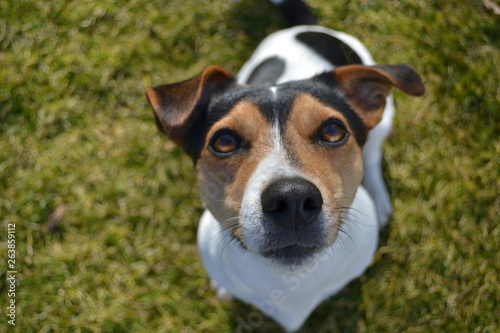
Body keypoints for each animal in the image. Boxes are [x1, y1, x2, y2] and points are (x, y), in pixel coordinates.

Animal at [144, 0, 422, 330]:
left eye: (333, 131)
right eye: (224, 141)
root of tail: (307, 27)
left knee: (373, 155)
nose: (292, 199)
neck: (289, 282)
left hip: (384, 120)